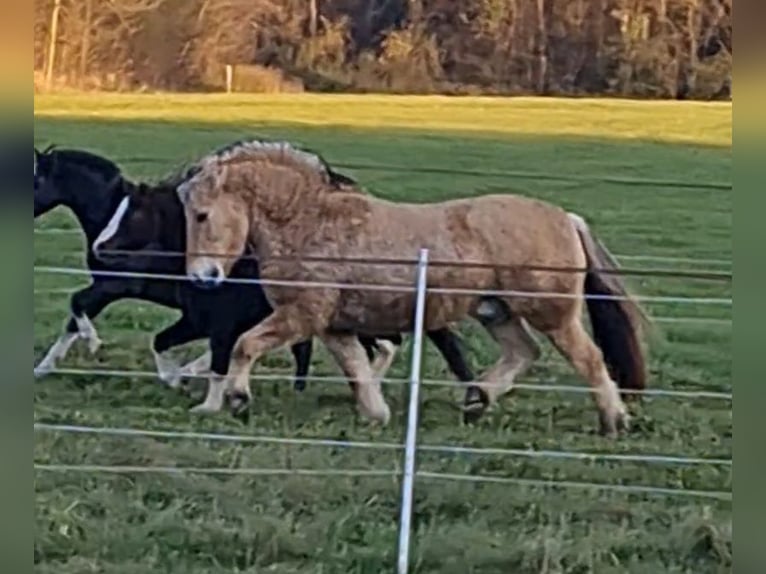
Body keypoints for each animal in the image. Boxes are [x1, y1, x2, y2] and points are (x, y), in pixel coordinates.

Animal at [36, 145, 480, 414]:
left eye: (36, 178)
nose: (103, 248)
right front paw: (46, 366)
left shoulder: (123, 286)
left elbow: (80, 307)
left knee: (395, 343)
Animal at [178, 141, 648, 436]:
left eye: (201, 215)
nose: (202, 276)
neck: (307, 221)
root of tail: (566, 218)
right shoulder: (335, 328)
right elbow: (357, 372)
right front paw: (377, 414)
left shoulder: (301, 316)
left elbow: (244, 345)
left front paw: (237, 397)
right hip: (495, 309)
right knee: (523, 353)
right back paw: (478, 399)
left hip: (551, 314)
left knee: (589, 359)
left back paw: (614, 421)